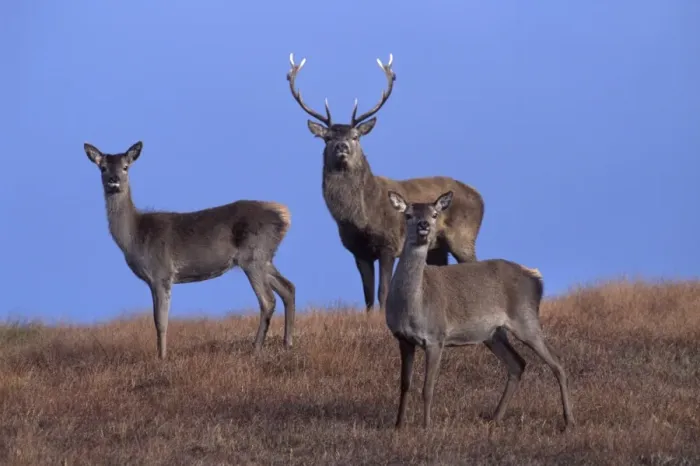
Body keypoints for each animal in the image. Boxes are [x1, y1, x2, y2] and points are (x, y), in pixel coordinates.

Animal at [83, 140, 296, 359]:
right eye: (103, 167)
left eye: (126, 167)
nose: (114, 181)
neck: (136, 236)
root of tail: (285, 217)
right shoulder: (154, 280)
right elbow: (156, 319)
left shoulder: (162, 273)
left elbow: (160, 321)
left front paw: (162, 358)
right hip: (265, 257)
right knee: (288, 288)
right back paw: (287, 343)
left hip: (253, 256)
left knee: (268, 300)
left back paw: (256, 348)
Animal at [287, 53, 485, 313]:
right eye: (327, 138)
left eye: (355, 136)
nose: (341, 147)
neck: (361, 217)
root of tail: (480, 197)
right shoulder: (358, 251)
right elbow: (368, 296)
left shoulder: (389, 243)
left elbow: (383, 291)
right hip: (437, 247)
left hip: (464, 236)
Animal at [385, 190, 575, 430]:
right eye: (408, 214)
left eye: (435, 214)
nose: (423, 225)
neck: (413, 306)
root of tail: (535, 277)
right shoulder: (403, 339)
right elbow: (404, 385)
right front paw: (398, 426)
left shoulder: (436, 337)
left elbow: (428, 388)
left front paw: (427, 427)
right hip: (493, 334)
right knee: (518, 364)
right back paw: (495, 417)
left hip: (526, 319)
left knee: (557, 362)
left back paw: (569, 421)